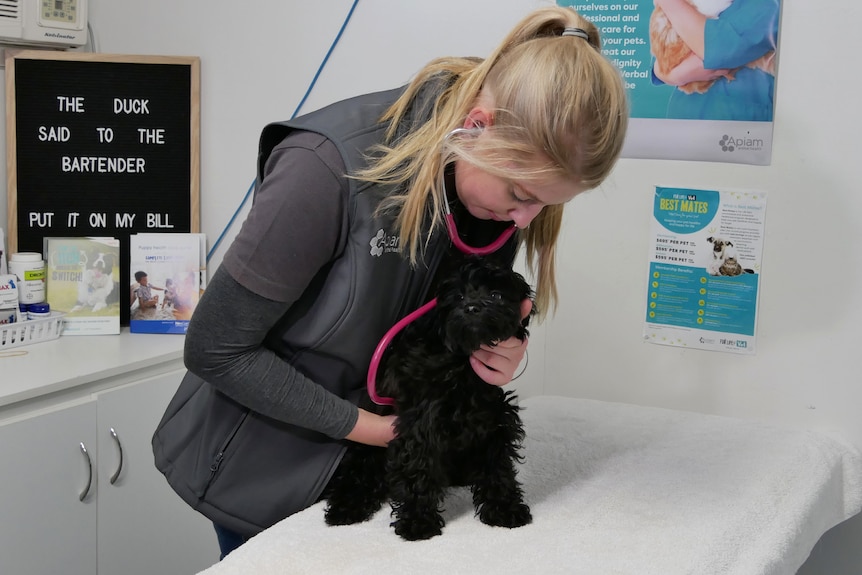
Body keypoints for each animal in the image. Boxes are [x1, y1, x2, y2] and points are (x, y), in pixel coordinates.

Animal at [324, 258, 532, 544]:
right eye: (458, 296)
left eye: (496, 295)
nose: (472, 307)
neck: (461, 366)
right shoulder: (422, 424)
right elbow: (418, 470)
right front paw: (417, 523)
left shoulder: (495, 422)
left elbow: (499, 467)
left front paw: (505, 509)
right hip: (368, 450)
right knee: (359, 475)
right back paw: (345, 509)